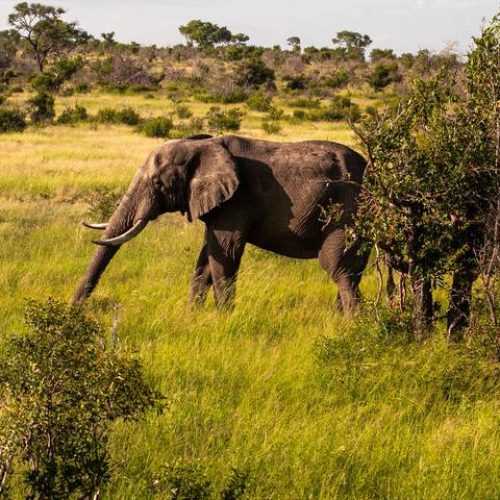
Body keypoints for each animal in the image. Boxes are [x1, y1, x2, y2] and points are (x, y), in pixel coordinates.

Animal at [74, 135, 372, 310]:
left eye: (158, 183)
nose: (75, 310)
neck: (201, 144)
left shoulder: (237, 201)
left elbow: (225, 256)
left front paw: (223, 318)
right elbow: (206, 260)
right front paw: (194, 317)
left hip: (349, 211)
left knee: (338, 268)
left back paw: (351, 327)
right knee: (350, 272)